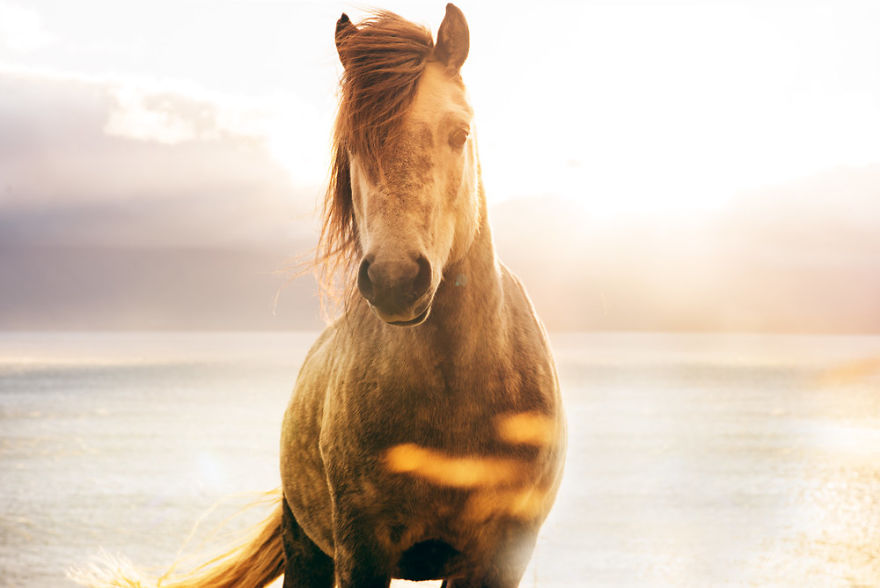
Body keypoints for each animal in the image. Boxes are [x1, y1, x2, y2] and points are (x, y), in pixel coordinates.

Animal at [73, 5, 565, 587]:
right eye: (351, 144)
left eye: (459, 131)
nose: (397, 278)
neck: (457, 393)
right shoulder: (361, 549)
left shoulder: (500, 554)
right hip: (306, 547)